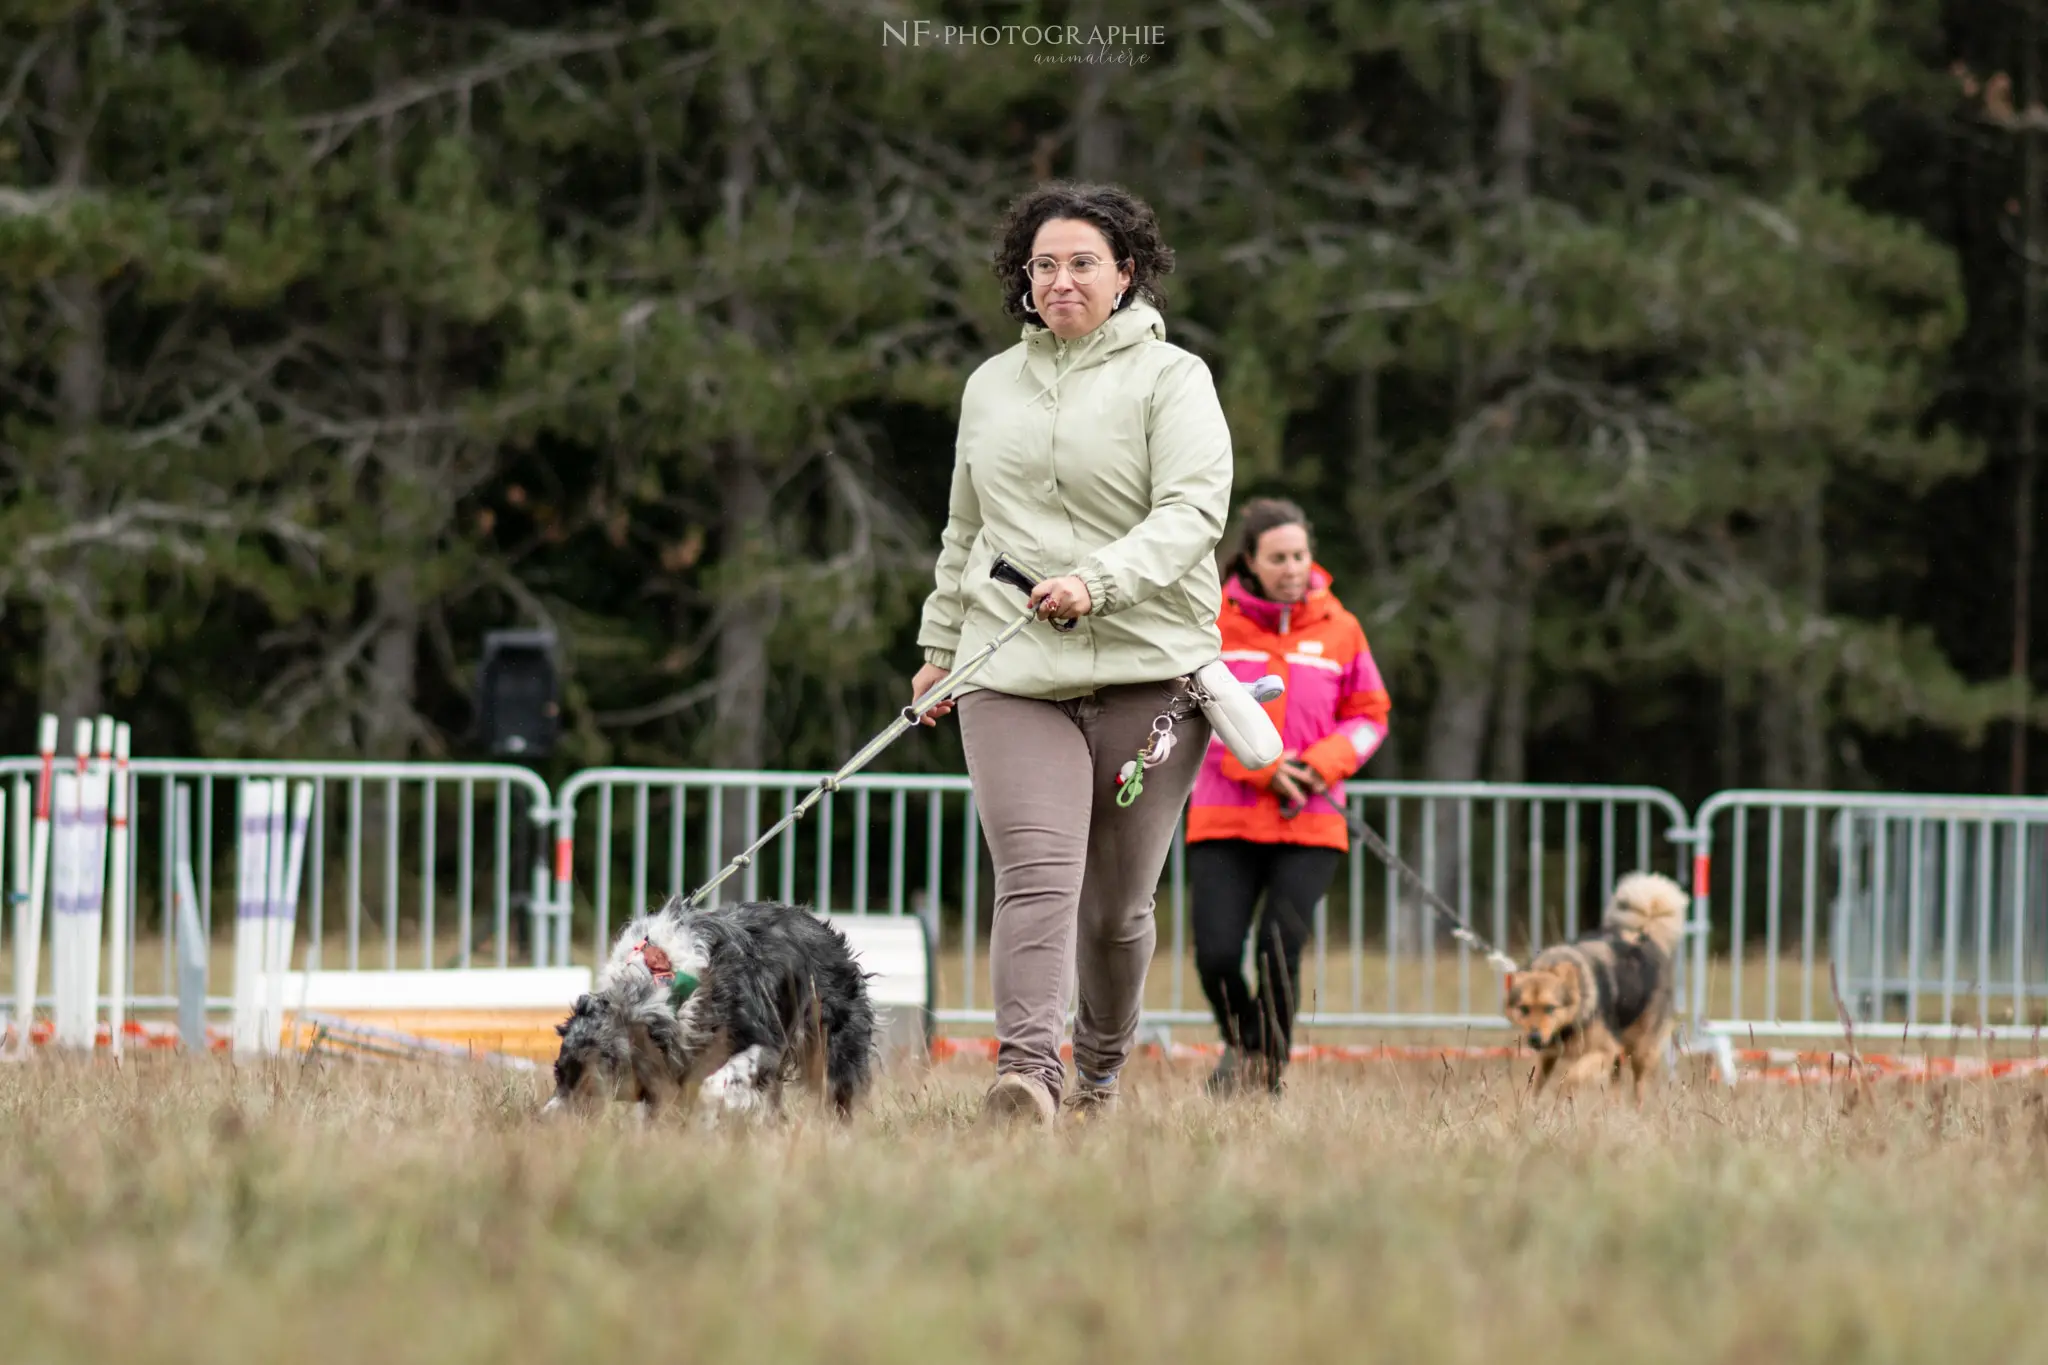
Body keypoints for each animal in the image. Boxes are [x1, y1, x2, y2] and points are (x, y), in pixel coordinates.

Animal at [540, 896, 876, 1121]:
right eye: (558, 1073)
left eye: (591, 1084)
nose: (544, 1121)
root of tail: (820, 926)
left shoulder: (763, 1041)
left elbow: (716, 1085)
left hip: (831, 1040)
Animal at [1499, 875, 1687, 1096]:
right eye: (1524, 1009)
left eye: (1550, 1008)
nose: (1535, 1038)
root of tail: (1644, 933)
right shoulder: (1548, 1055)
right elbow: (1535, 1083)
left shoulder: (1604, 1050)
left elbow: (1571, 1077)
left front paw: (1561, 1097)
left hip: (1641, 1049)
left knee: (1639, 1086)